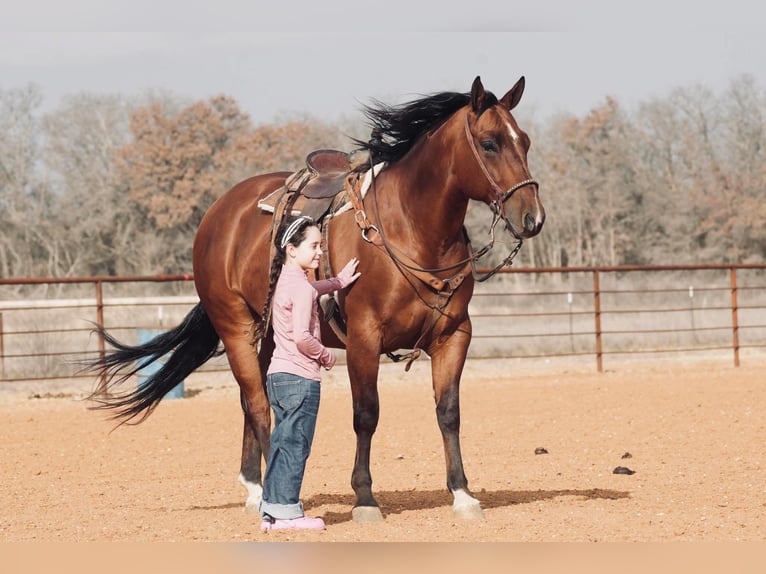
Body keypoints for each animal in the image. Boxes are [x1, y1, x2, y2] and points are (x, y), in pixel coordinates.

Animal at [90, 75, 544, 520]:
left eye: (524, 141)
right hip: (235, 328)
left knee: (254, 400)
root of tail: (218, 213)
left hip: (270, 336)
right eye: (489, 143)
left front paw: (463, 494)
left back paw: (254, 484)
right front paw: (365, 497)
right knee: (258, 404)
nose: (533, 218)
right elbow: (366, 415)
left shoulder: (454, 336)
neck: (410, 228)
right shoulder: (364, 339)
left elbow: (448, 413)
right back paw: (267, 496)